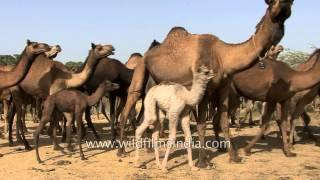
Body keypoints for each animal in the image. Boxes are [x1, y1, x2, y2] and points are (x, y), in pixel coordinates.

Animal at [119, 0, 294, 167]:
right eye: (271, 2)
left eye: (291, 2)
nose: (285, 3)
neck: (223, 56)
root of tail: (145, 55)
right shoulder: (205, 89)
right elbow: (202, 123)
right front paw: (203, 161)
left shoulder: (224, 86)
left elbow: (223, 122)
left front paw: (234, 157)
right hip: (141, 70)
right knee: (129, 104)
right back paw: (121, 151)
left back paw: (148, 149)